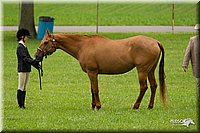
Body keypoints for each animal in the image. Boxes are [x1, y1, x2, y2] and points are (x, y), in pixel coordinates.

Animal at [34, 29, 166, 110]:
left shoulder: (92, 72)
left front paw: (97, 105)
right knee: (154, 86)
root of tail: (155, 42)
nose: (36, 55)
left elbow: (95, 89)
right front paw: (93, 106)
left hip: (142, 70)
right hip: (150, 70)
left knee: (144, 87)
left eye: (45, 42)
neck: (83, 46)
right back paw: (150, 106)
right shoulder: (90, 74)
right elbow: (92, 89)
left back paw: (136, 105)